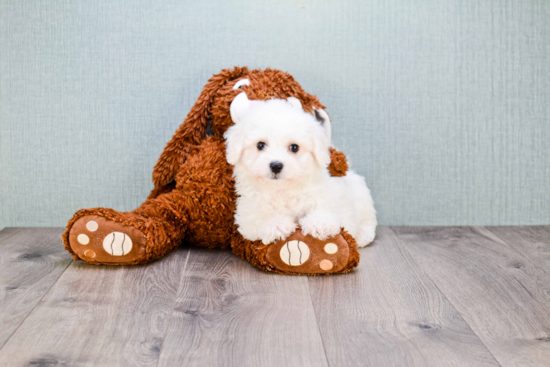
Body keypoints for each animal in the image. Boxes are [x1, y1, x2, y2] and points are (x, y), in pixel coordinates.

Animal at [225, 92, 380, 247]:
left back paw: (363, 235)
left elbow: (329, 209)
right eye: (260, 145)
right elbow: (259, 218)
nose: (276, 165)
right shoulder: (247, 212)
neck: (282, 189)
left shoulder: (329, 196)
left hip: (361, 196)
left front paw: (320, 223)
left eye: (294, 147)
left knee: (368, 220)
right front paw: (276, 225)